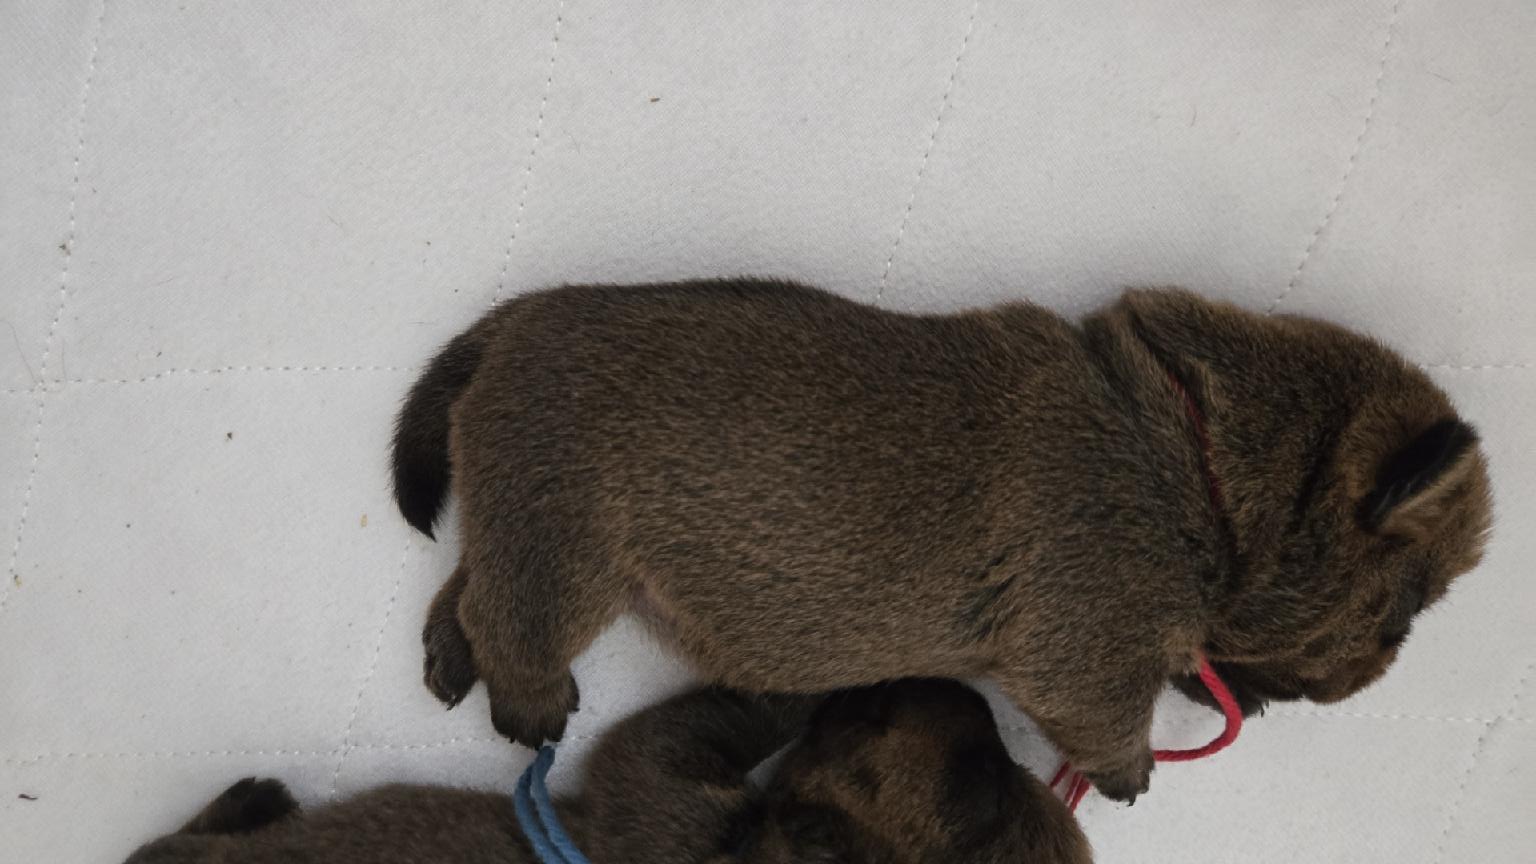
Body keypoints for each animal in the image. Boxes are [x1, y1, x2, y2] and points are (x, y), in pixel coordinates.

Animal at [394, 281, 1492, 801]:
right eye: (1400, 618)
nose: (1365, 684)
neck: (1201, 459)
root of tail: (518, 322)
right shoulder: (1083, 647)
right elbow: (1106, 716)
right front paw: (1131, 771)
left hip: (519, 515)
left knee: (468, 582)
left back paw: (448, 653)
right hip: (570, 551)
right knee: (516, 622)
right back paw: (529, 702)